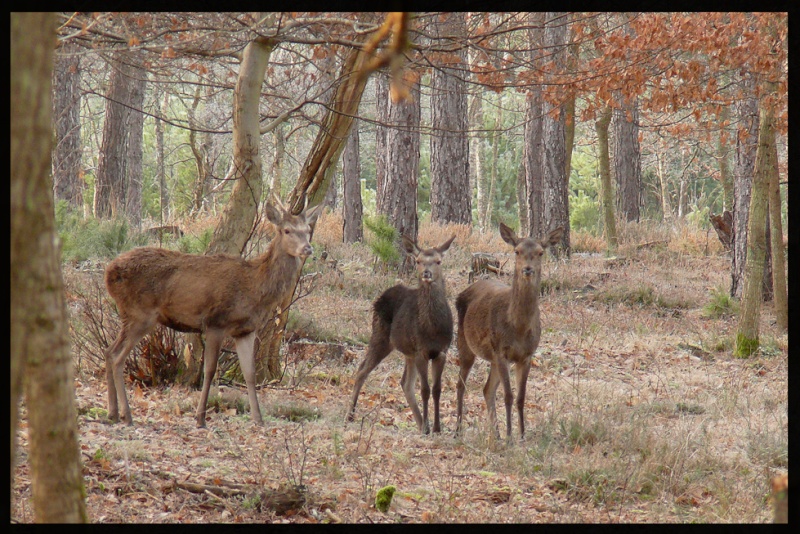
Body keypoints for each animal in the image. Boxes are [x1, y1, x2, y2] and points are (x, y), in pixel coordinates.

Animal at [102, 195, 322, 430]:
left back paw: (112, 413)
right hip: (140, 314)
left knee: (109, 351)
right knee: (117, 357)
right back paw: (126, 415)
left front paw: (258, 418)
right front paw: (200, 418)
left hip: (131, 315)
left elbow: (250, 373)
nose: (308, 248)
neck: (255, 287)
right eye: (287, 230)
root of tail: (108, 272)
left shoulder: (245, 330)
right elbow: (209, 371)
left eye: (308, 230)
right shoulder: (215, 322)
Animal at [346, 234, 456, 436]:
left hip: (407, 352)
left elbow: (437, 389)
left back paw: (421, 424)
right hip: (380, 335)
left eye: (438, 261)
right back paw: (350, 414)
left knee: (405, 383)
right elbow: (425, 390)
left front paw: (437, 428)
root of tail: (381, 296)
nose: (426, 273)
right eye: (418, 261)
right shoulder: (421, 351)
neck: (432, 329)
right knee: (362, 369)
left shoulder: (441, 351)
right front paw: (429, 427)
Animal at [456, 224, 564, 442]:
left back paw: (495, 434)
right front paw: (509, 436)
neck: (518, 328)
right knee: (460, 385)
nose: (527, 269)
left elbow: (521, 397)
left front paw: (521, 435)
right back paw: (458, 430)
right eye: (517, 251)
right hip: (465, 343)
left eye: (540, 252)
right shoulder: (502, 351)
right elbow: (508, 396)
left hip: (491, 357)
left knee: (487, 389)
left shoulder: (527, 355)